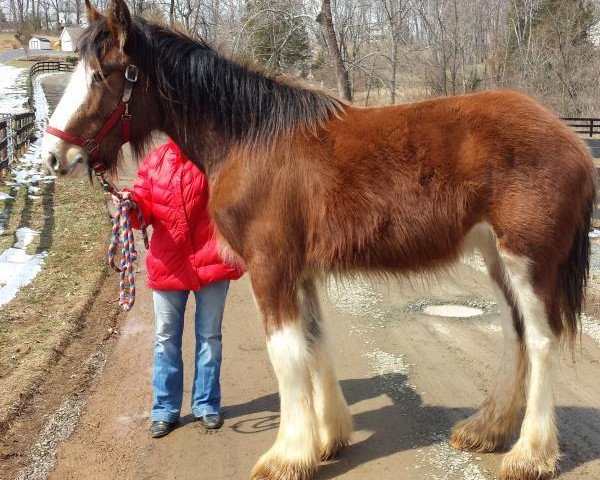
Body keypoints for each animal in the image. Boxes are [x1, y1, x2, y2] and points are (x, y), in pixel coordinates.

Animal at [41, 0, 596, 480]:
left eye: (102, 75)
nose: (52, 156)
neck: (250, 139)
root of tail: (571, 140)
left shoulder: (270, 269)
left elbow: (286, 357)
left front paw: (288, 455)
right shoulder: (300, 271)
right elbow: (314, 343)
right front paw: (328, 439)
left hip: (527, 259)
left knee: (541, 342)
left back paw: (529, 455)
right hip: (495, 257)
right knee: (515, 333)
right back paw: (487, 430)